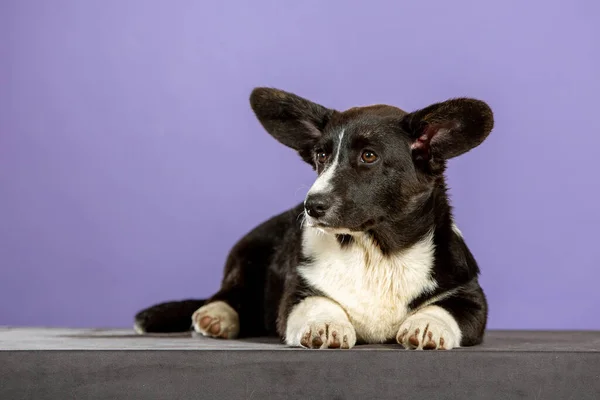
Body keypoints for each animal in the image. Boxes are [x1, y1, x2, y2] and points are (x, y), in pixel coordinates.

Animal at [134, 87, 494, 350]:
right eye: (321, 155)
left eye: (369, 156)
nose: (311, 206)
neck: (378, 252)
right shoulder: (297, 294)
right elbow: (318, 303)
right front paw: (327, 325)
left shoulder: (471, 298)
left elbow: (444, 308)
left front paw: (426, 325)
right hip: (247, 253)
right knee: (230, 293)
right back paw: (216, 316)